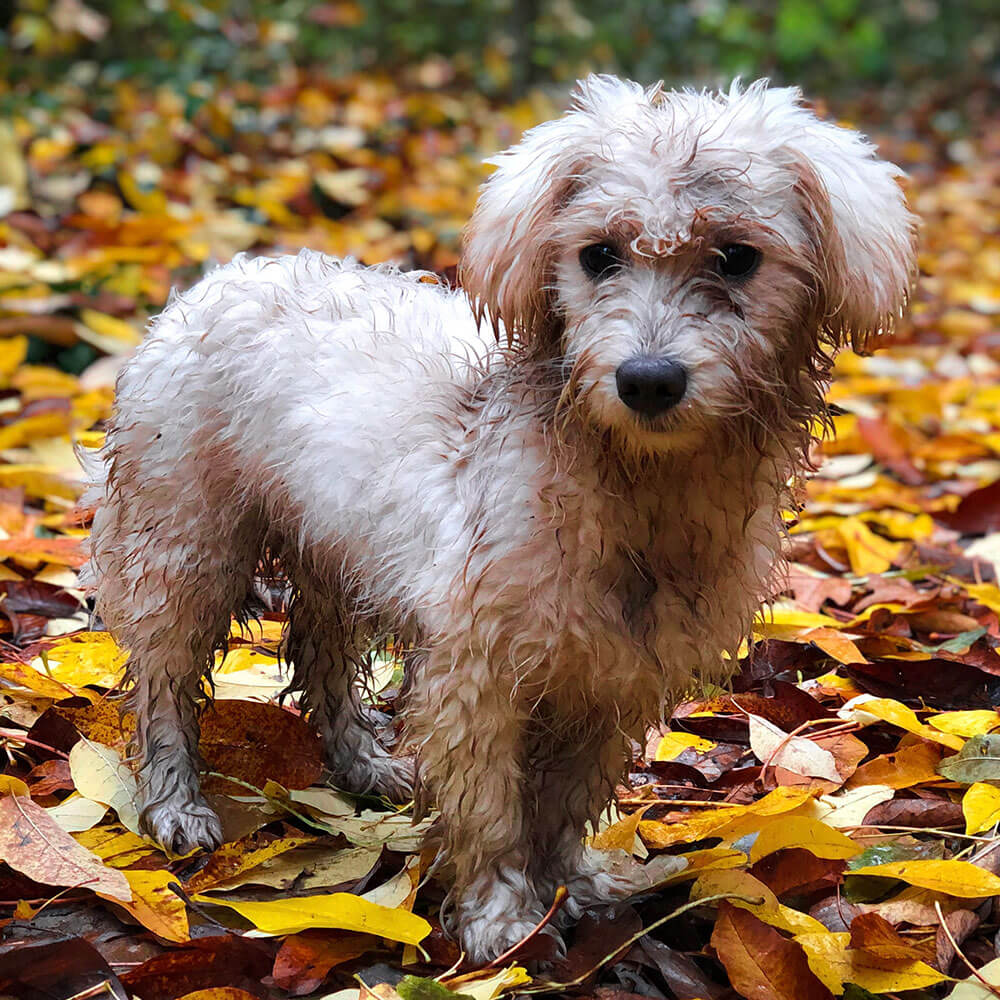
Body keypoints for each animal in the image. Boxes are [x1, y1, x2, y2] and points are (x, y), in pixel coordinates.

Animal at [82, 78, 916, 960]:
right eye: (598, 255)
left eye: (737, 257)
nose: (648, 380)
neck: (638, 491)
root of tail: (220, 277)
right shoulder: (478, 669)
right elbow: (490, 806)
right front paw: (503, 921)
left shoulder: (614, 675)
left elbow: (567, 798)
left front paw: (569, 884)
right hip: (185, 543)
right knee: (166, 678)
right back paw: (176, 801)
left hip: (335, 547)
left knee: (322, 653)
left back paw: (363, 764)